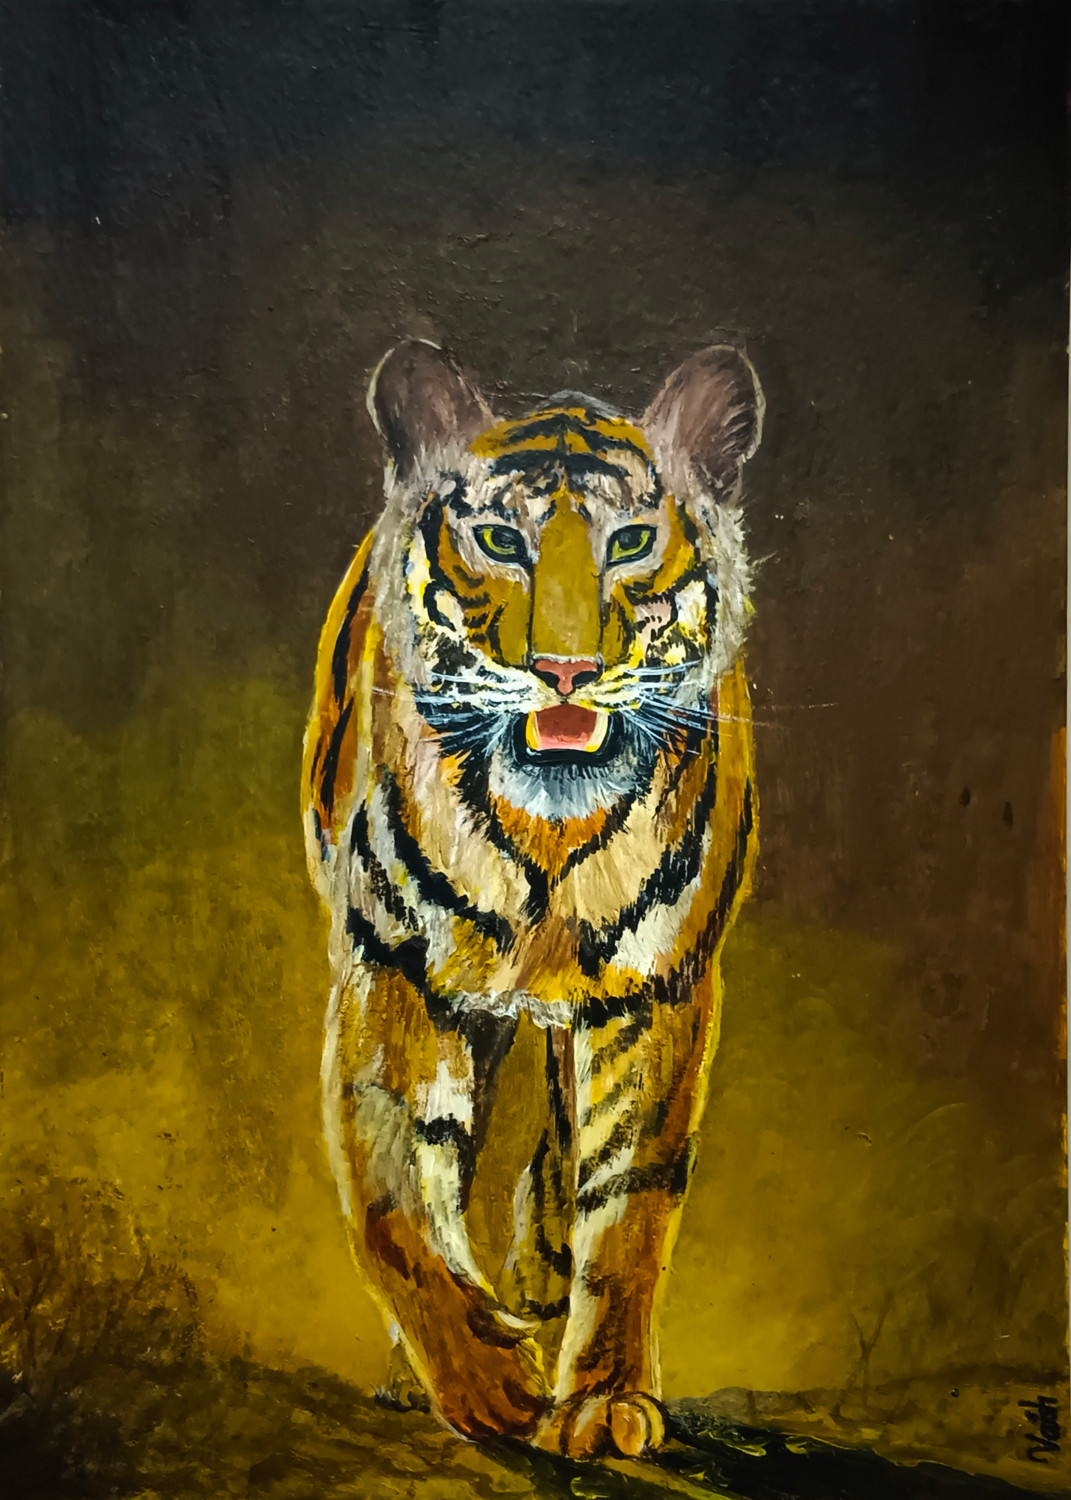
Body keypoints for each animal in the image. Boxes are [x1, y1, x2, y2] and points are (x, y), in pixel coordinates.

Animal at [302, 338, 763, 1459]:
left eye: (631, 543)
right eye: (501, 541)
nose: (564, 669)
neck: (548, 831)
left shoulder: (658, 987)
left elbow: (627, 1202)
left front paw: (601, 1400)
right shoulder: (395, 967)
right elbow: (393, 1200)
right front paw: (483, 1384)